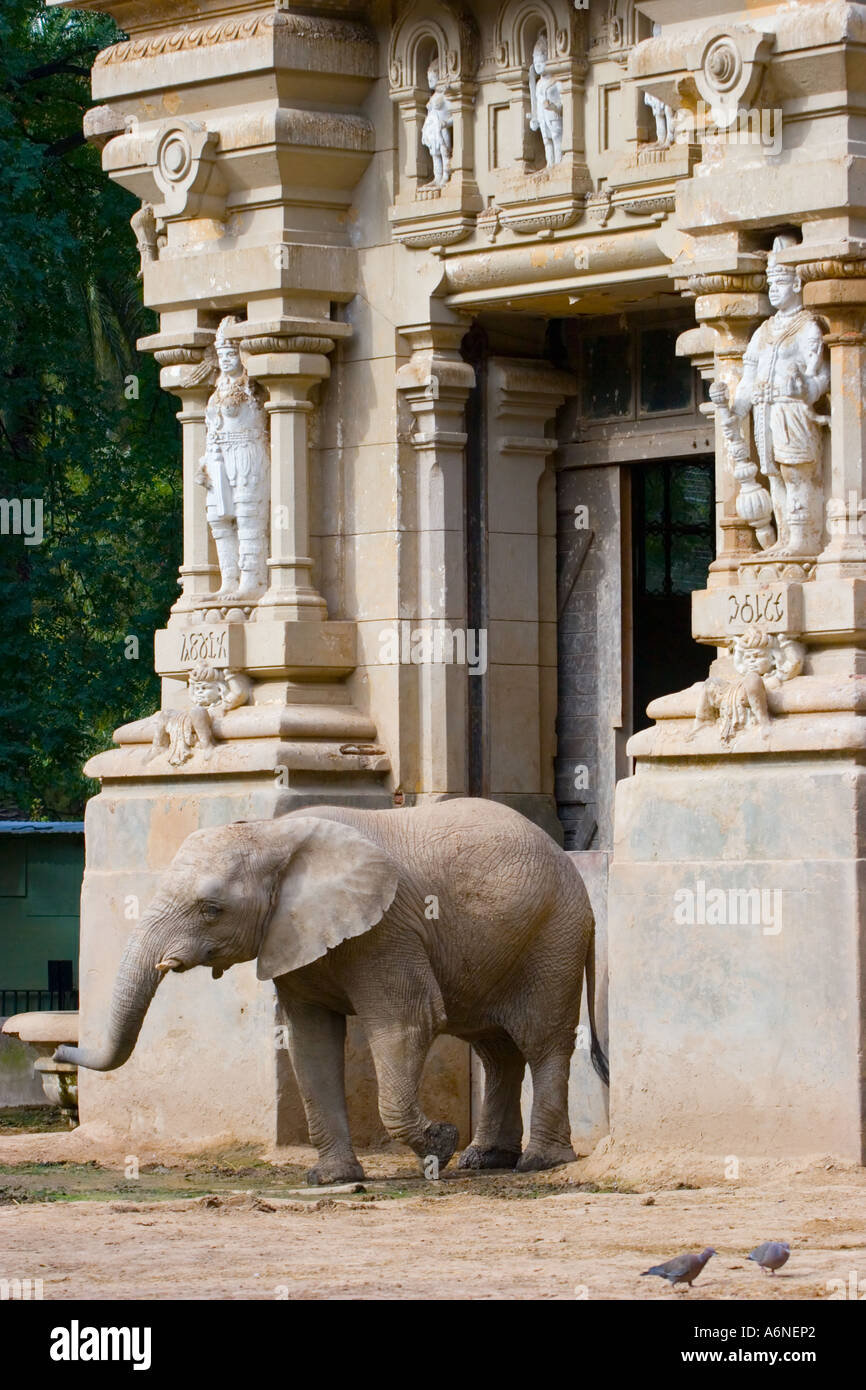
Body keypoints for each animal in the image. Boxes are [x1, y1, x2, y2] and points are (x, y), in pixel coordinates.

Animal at [57, 800, 606, 1178]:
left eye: (211, 909)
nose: (62, 1050)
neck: (274, 835)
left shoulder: (388, 928)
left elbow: (407, 1024)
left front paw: (440, 1144)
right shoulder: (292, 936)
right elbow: (309, 1040)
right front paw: (331, 1178)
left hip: (553, 938)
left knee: (541, 1041)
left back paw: (538, 1162)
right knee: (496, 1049)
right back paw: (485, 1159)